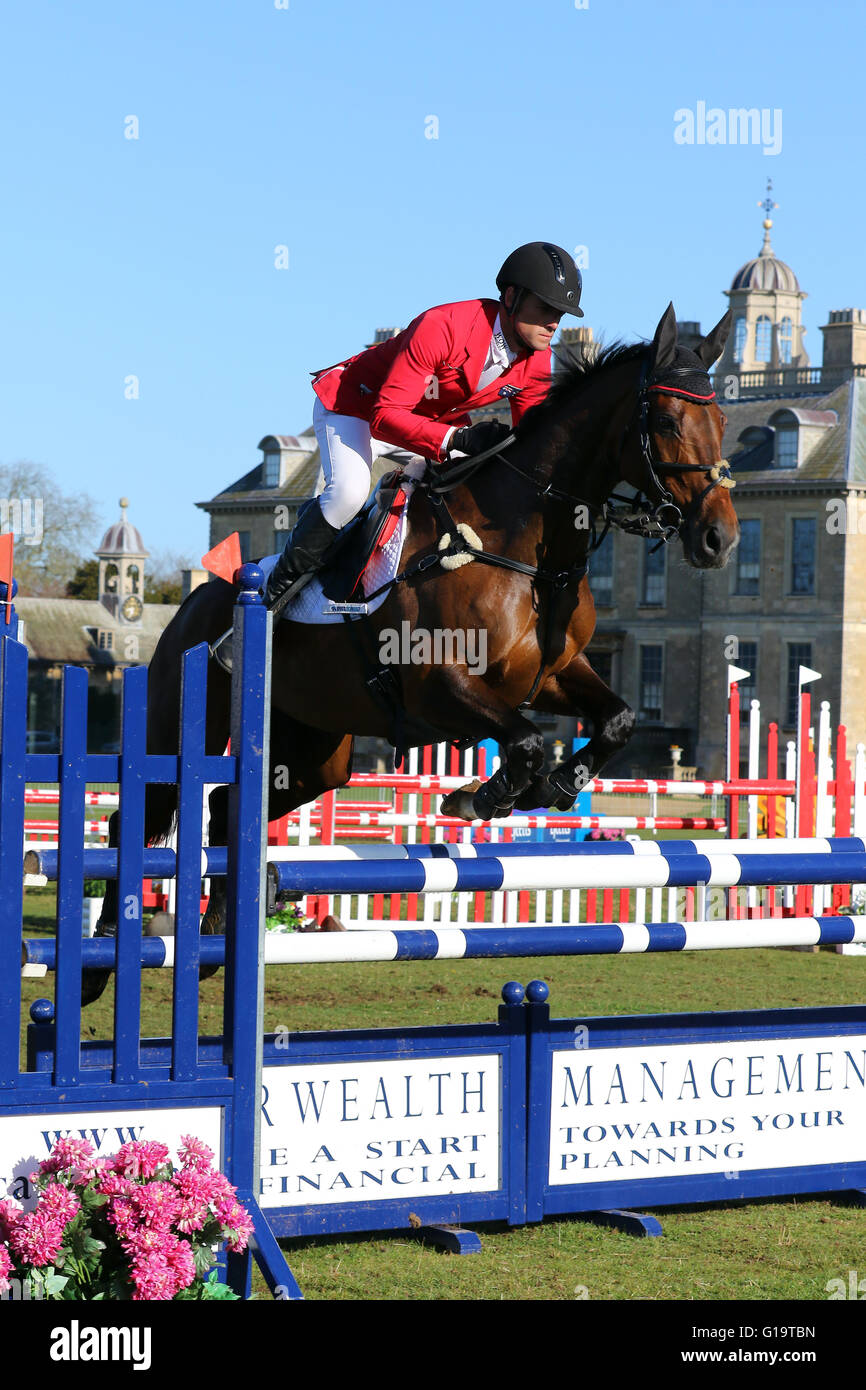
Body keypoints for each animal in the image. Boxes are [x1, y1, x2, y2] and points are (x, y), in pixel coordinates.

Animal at [83, 301, 739, 1000]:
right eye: (666, 420)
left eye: (723, 420)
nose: (717, 538)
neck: (525, 547)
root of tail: (192, 601)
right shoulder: (439, 687)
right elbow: (527, 741)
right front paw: (482, 796)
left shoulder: (555, 674)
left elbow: (616, 719)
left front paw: (555, 785)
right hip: (183, 718)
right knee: (139, 816)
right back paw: (101, 959)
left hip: (315, 755)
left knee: (229, 807)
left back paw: (212, 944)